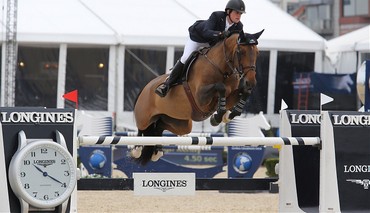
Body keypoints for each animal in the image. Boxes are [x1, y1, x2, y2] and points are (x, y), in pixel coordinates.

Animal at [133, 29, 264, 165]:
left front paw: (228, 114)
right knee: (142, 129)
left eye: (257, 53)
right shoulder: (201, 97)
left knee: (159, 127)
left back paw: (157, 151)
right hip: (145, 117)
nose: (250, 82)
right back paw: (137, 150)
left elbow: (242, 93)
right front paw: (217, 117)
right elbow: (221, 87)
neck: (222, 68)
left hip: (180, 124)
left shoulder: (230, 97)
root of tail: (145, 87)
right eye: (241, 52)